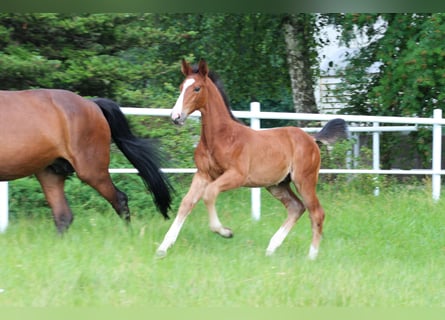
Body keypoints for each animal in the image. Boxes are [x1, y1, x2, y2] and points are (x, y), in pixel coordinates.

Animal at [0, 89, 172, 234]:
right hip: (50, 173)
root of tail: (92, 104)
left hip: (91, 170)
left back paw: (129, 235)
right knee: (63, 216)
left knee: (120, 199)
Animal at [156, 60, 346, 260]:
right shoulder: (203, 174)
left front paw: (225, 232)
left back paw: (311, 256)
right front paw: (163, 247)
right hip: (277, 185)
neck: (220, 137)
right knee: (296, 208)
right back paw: (271, 248)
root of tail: (311, 138)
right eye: (181, 87)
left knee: (316, 213)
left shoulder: (236, 176)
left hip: (304, 180)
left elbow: (210, 193)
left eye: (197, 88)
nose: (176, 117)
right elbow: (186, 203)